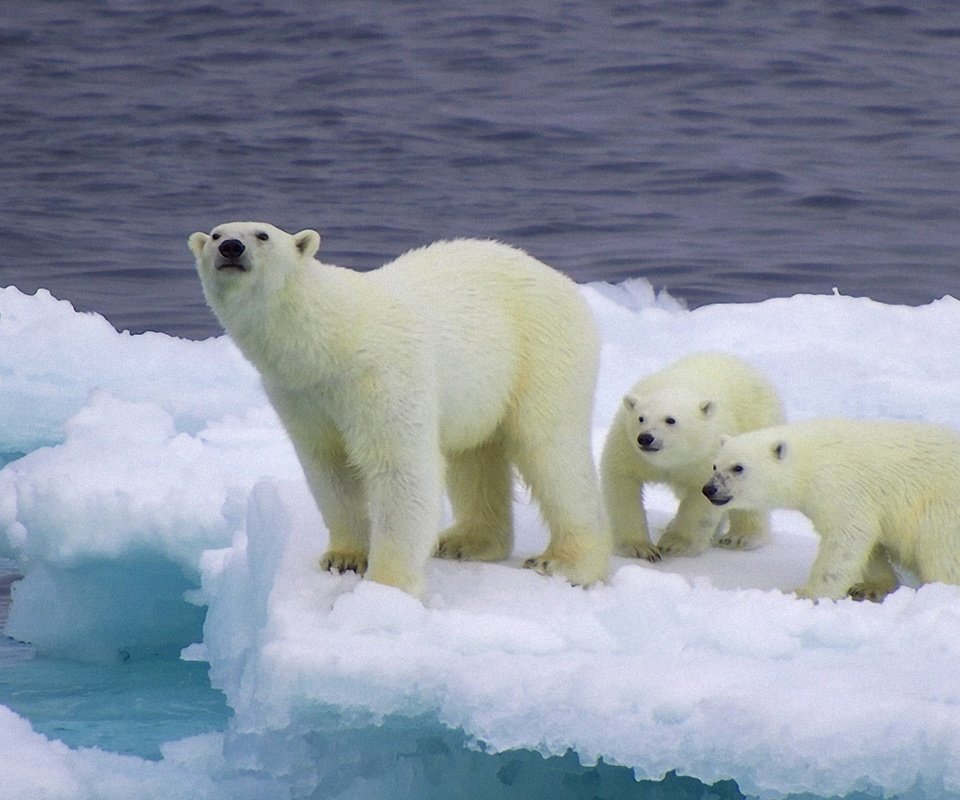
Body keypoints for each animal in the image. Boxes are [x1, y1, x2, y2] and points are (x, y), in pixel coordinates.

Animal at [189, 222, 608, 596]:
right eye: (216, 234)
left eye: (261, 235)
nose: (230, 248)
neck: (331, 339)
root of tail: (562, 281)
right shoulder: (299, 395)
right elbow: (329, 467)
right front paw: (344, 557)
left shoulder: (381, 374)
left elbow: (399, 467)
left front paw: (385, 585)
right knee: (473, 456)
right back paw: (466, 541)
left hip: (541, 350)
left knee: (550, 450)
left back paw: (565, 562)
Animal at [700, 418, 960, 600]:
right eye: (714, 465)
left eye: (738, 467)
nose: (709, 489)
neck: (810, 460)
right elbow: (869, 544)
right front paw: (868, 587)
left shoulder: (842, 487)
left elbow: (846, 538)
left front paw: (805, 593)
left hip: (944, 510)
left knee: (940, 554)